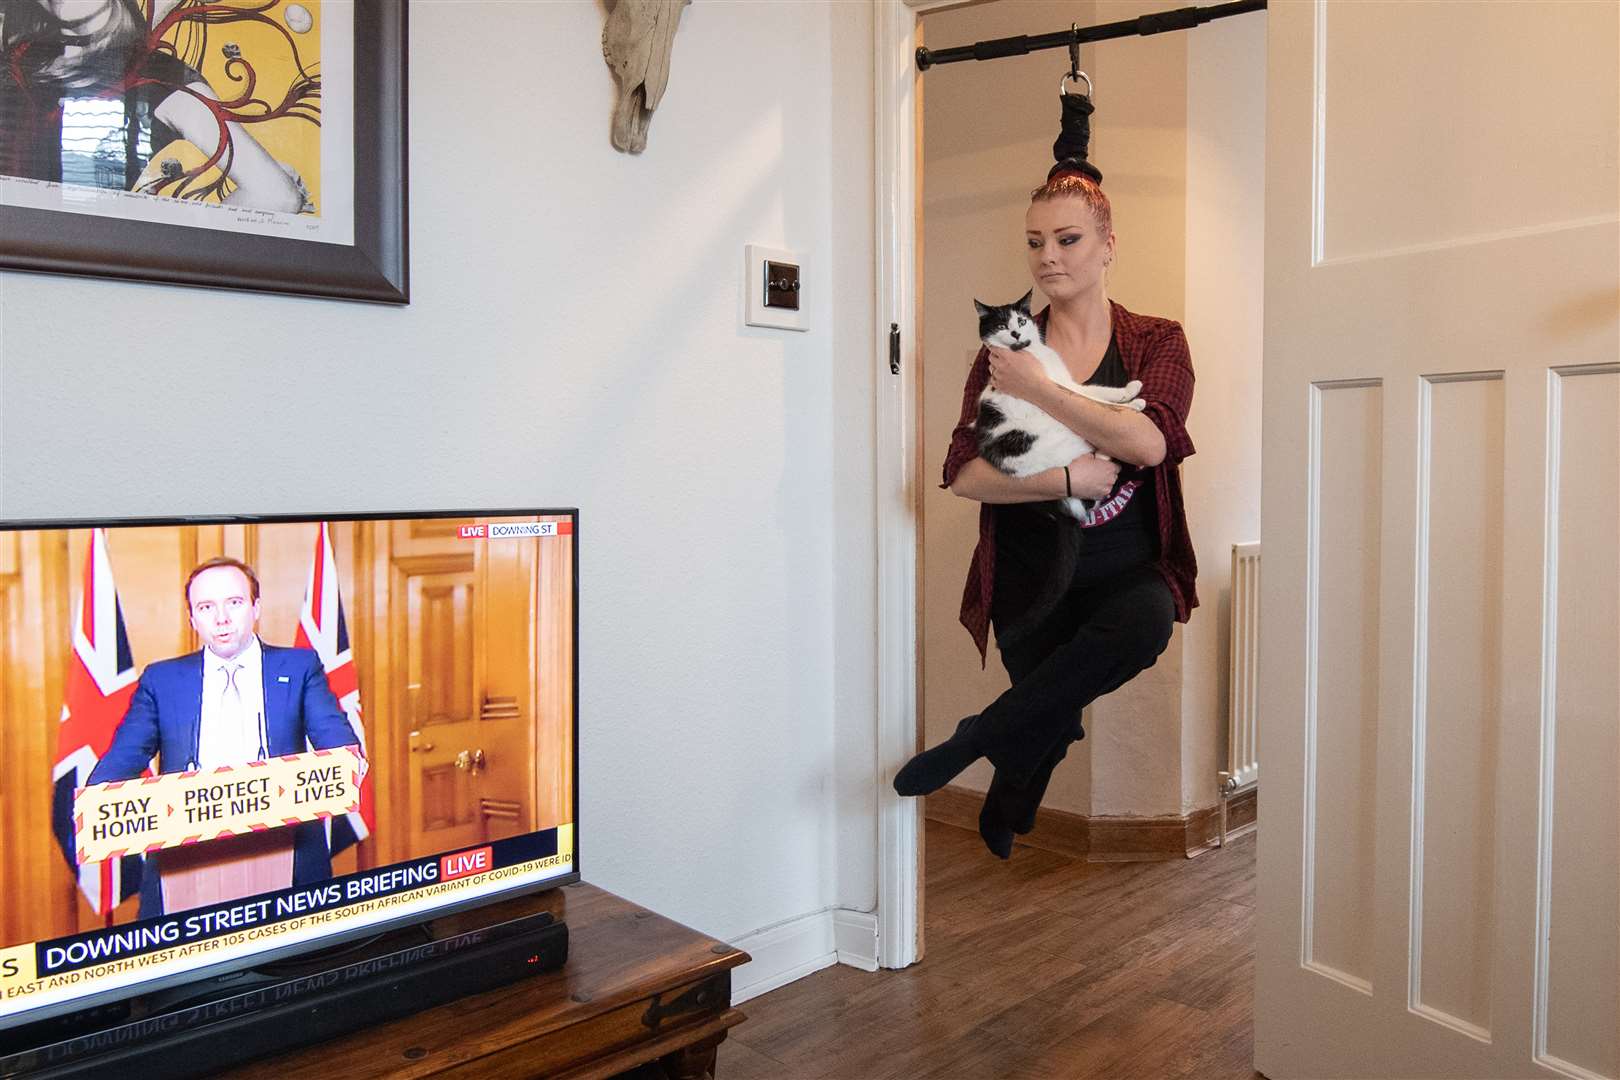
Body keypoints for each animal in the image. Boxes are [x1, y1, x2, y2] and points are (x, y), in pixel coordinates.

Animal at [965, 291, 1146, 518]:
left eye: (1021, 321)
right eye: (1001, 326)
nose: (1016, 333)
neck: (1030, 351)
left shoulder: (1066, 383)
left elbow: (1096, 391)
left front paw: (1129, 392)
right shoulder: (1058, 385)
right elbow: (1096, 400)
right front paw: (1133, 405)